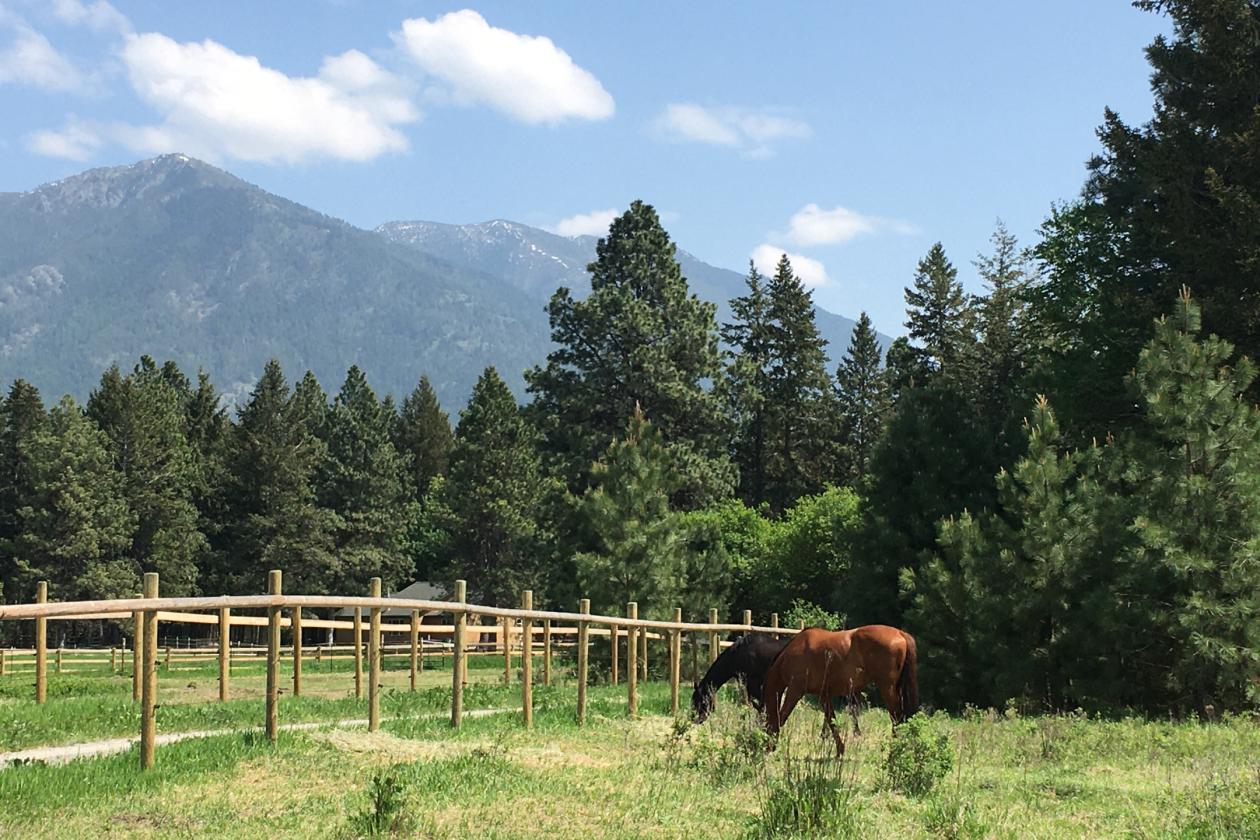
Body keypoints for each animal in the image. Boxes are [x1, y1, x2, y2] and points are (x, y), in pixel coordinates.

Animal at [762, 625, 918, 756]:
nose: (765, 745)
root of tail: (900, 633)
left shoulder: (795, 690)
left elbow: (782, 717)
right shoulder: (824, 694)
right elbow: (831, 720)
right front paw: (840, 750)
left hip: (887, 688)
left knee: (896, 716)